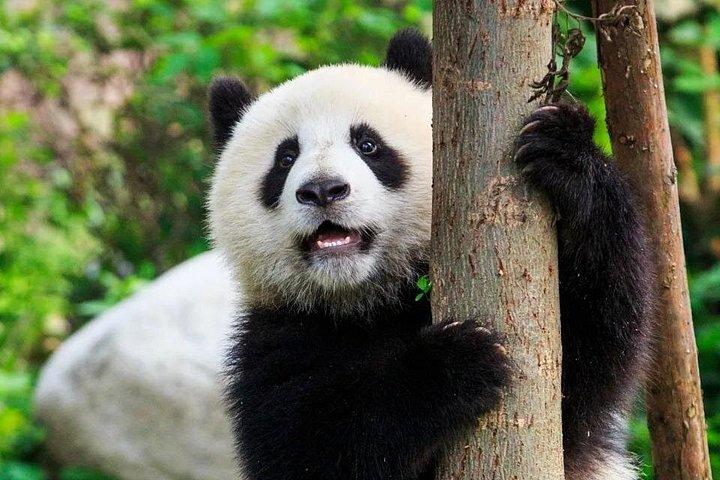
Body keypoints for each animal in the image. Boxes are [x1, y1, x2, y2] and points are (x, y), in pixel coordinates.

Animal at [208, 29, 653, 480]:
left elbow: (589, 355)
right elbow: (317, 448)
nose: (322, 190)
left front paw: (564, 154)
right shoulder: (275, 342)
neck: (366, 301)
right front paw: (457, 361)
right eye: (284, 158)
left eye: (368, 144)